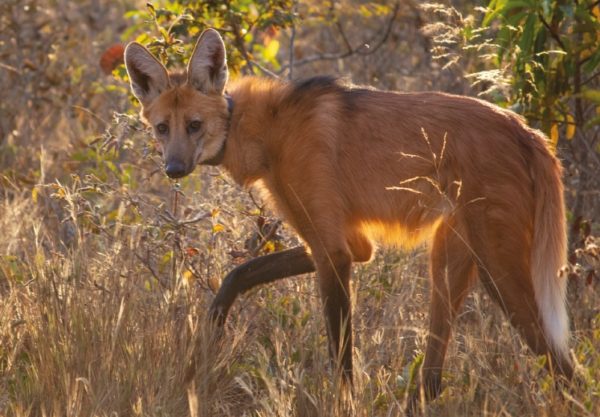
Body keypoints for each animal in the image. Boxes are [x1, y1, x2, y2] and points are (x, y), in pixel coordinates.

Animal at [124, 28, 576, 404]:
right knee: (434, 375)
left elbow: (341, 358)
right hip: (450, 262)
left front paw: (344, 405)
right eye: (163, 128)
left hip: (499, 270)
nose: (173, 169)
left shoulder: (334, 252)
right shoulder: (344, 244)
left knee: (564, 366)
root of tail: (528, 130)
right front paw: (209, 334)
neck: (265, 130)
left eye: (194, 125)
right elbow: (239, 274)